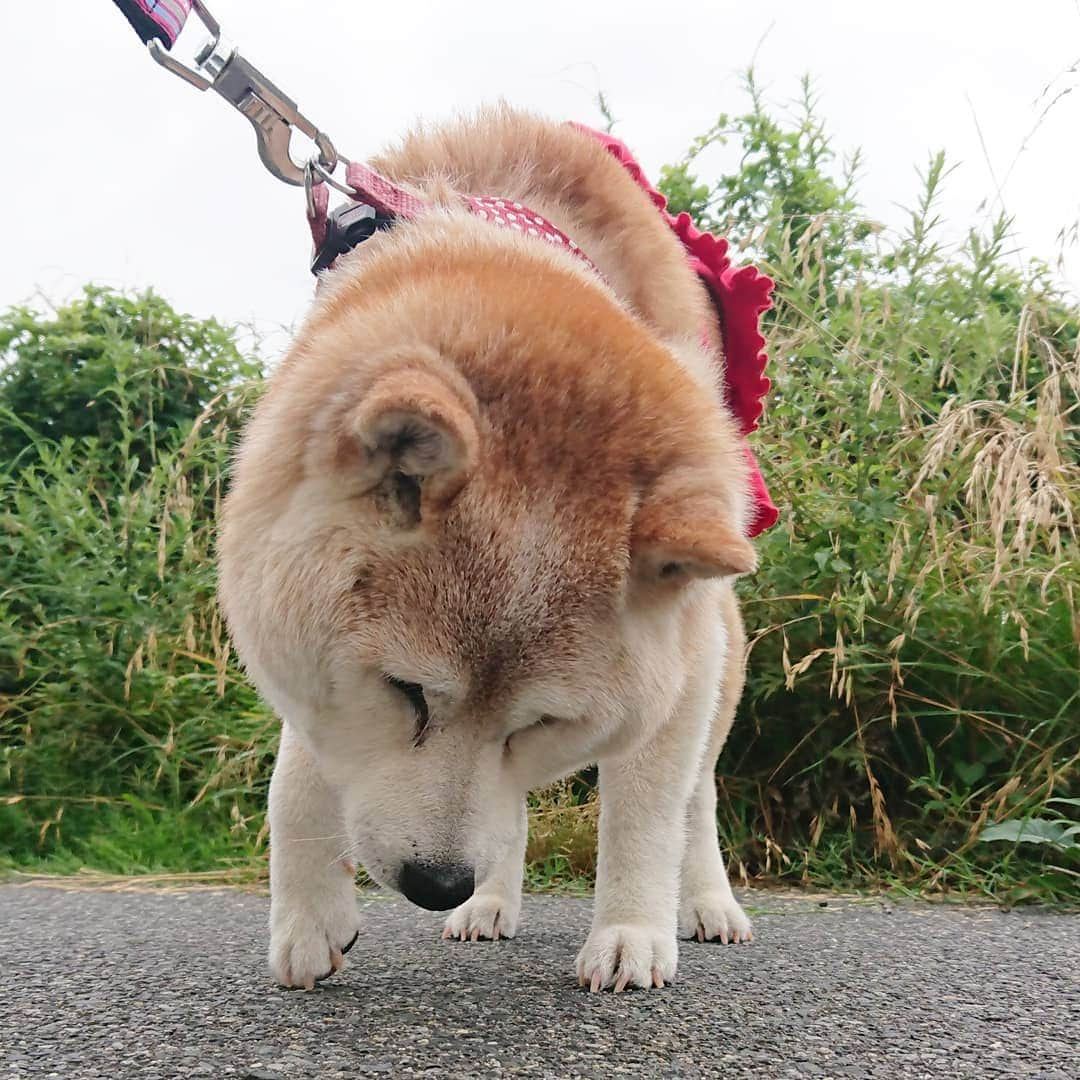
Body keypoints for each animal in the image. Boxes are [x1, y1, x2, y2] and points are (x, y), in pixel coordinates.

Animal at [214, 105, 768, 989]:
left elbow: (647, 811)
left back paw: (706, 903)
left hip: (717, 660)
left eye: (538, 723)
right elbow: (297, 775)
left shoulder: (682, 661)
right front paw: (307, 913)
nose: (437, 884)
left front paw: (631, 932)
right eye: (406, 692)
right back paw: (490, 905)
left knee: (695, 798)